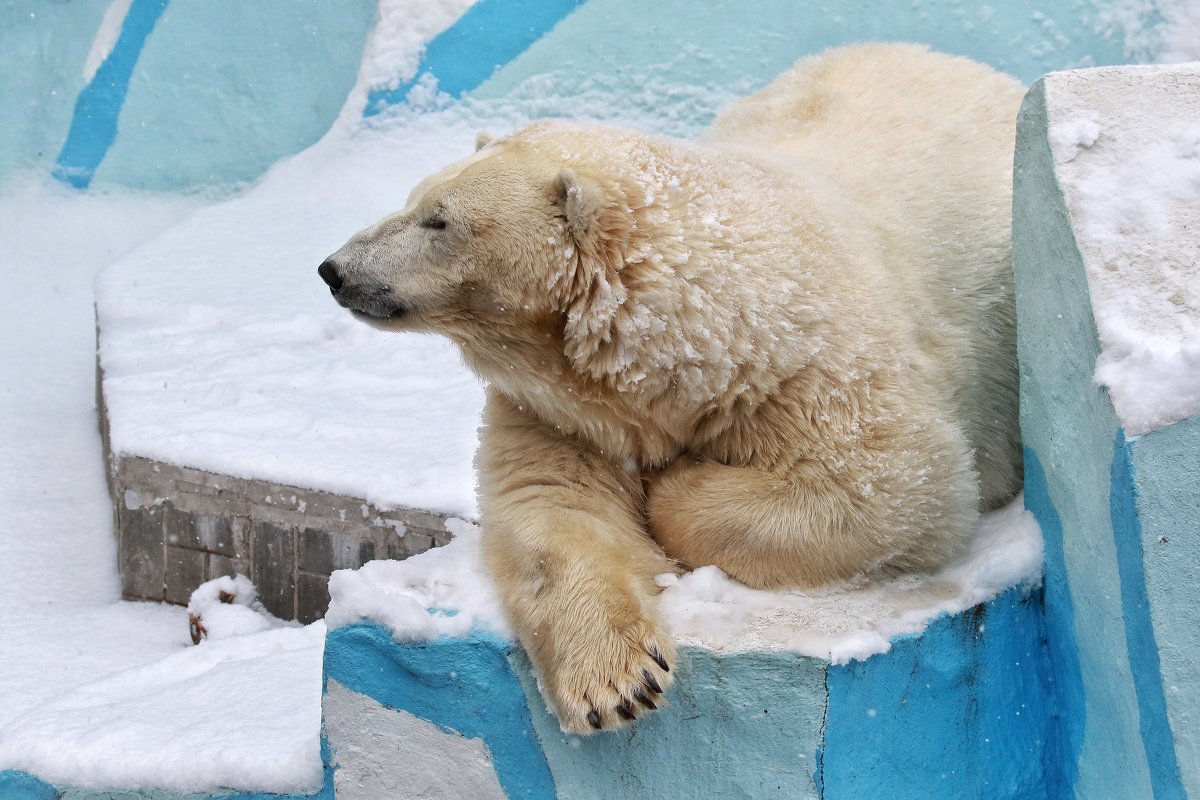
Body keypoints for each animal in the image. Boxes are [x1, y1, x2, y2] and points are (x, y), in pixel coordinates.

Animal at [316, 42, 1022, 734]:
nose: (335, 269)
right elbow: (554, 507)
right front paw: (617, 683)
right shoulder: (563, 408)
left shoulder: (806, 368)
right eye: (414, 200)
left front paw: (671, 484)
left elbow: (888, 484)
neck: (684, 343)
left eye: (438, 221)